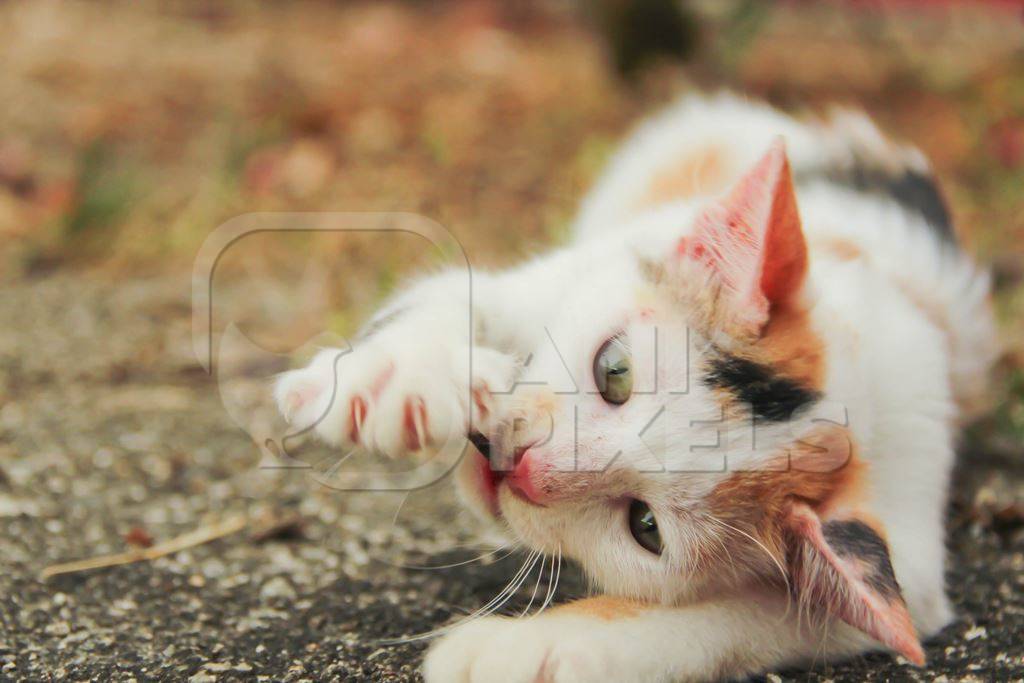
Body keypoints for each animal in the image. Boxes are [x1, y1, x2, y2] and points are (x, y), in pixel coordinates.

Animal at [276, 96, 995, 683]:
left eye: (644, 526)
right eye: (614, 372)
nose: (522, 467)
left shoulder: (912, 566)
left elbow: (745, 620)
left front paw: (521, 649)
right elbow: (453, 295)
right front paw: (398, 379)